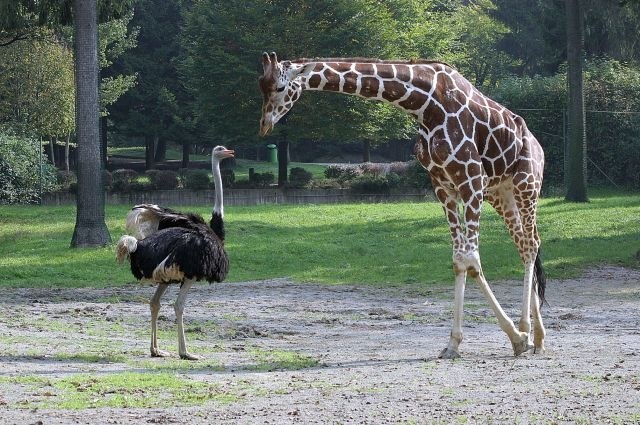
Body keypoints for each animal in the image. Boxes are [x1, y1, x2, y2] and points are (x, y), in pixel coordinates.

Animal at [258, 53, 548, 358]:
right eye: (260, 86)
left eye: (280, 87)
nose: (264, 124)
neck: (425, 104)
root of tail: (538, 144)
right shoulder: (443, 186)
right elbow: (459, 260)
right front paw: (454, 344)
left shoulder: (471, 179)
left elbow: (471, 259)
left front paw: (516, 338)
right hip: (500, 193)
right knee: (525, 244)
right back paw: (537, 336)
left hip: (527, 184)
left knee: (531, 244)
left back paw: (530, 332)